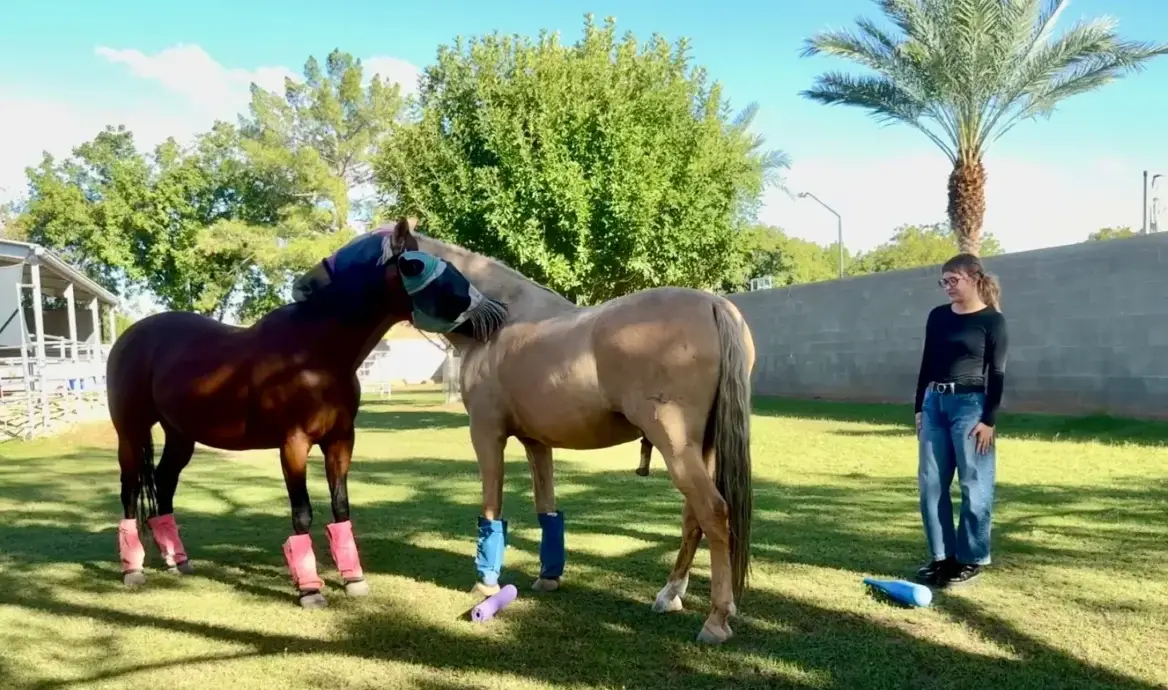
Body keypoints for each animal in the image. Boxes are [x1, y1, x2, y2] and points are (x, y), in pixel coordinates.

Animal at [104, 218, 505, 608]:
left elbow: (341, 507)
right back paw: (132, 570)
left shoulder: (340, 441)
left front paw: (354, 580)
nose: (495, 314)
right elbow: (302, 512)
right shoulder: (293, 445)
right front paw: (310, 590)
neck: (314, 353)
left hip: (180, 435)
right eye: (416, 265)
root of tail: (130, 336)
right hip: (132, 432)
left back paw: (178, 561)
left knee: (164, 483)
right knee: (129, 490)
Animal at [381, 220, 756, 645]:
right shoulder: (536, 443)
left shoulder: (486, 432)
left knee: (713, 512)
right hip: (700, 447)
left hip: (674, 443)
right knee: (694, 516)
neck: (504, 323)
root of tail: (712, 303)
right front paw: (548, 577)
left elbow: (491, 505)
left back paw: (716, 619)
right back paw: (669, 594)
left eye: (404, 264)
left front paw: (486, 585)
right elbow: (547, 508)